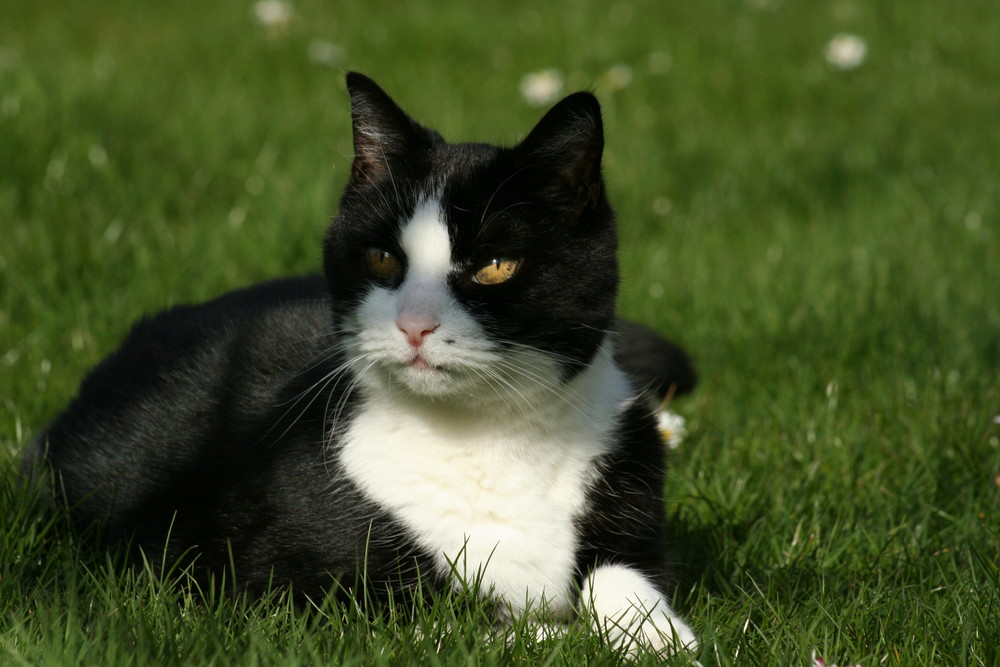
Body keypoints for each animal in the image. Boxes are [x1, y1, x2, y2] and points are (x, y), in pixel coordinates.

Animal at [21, 73, 696, 656]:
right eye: (381, 258)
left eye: (496, 265)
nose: (415, 324)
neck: (489, 438)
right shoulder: (279, 592)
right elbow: (458, 623)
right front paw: (561, 635)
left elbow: (623, 579)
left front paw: (659, 639)